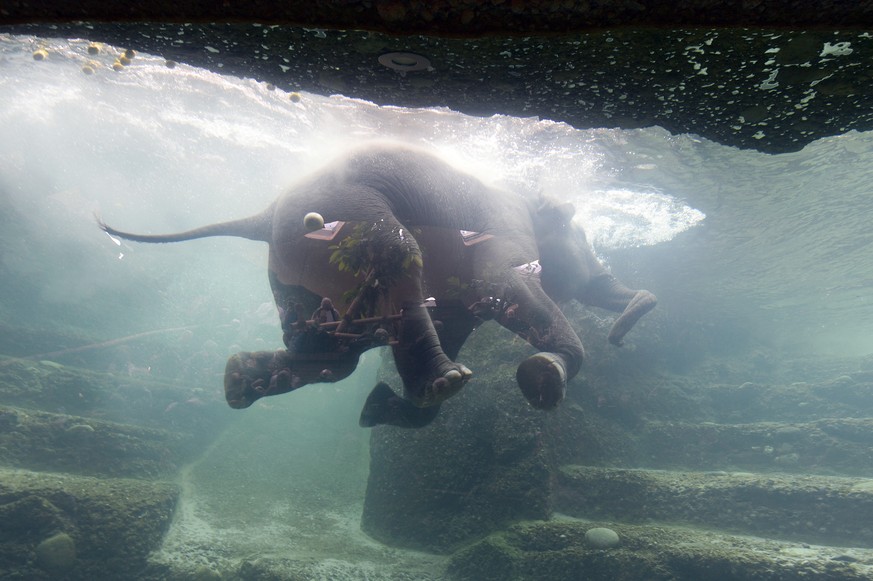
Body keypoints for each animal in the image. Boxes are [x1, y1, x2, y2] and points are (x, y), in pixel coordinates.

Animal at [99, 143, 656, 428]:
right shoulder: (502, 228)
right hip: (349, 216)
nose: (620, 333)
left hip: (295, 261)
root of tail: (262, 214)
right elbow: (500, 283)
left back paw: (240, 380)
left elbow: (456, 316)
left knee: (336, 349)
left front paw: (385, 407)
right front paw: (542, 376)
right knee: (394, 270)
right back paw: (449, 381)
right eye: (575, 226)